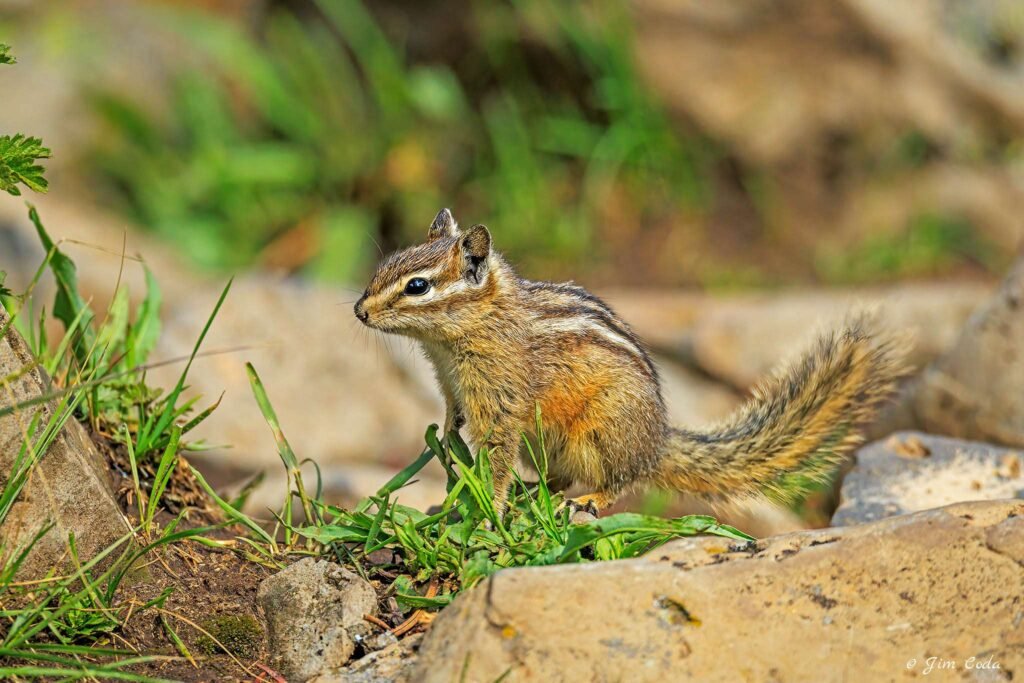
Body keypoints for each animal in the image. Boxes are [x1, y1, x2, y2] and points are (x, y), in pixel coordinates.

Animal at [355, 208, 907, 516]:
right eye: (386, 265)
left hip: (600, 432)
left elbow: (496, 451)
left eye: (417, 286)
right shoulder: (449, 382)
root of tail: (656, 441)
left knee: (617, 482)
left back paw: (586, 500)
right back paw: (535, 494)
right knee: (559, 478)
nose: (359, 310)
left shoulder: (504, 399)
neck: (450, 343)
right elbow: (452, 413)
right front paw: (448, 439)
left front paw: (486, 501)